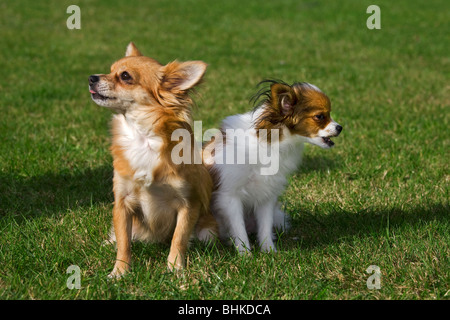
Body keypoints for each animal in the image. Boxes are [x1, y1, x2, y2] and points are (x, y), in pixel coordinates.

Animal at [88, 42, 218, 278]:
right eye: (110, 70)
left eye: (125, 76)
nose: (91, 77)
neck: (143, 138)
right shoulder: (122, 203)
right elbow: (124, 241)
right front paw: (120, 271)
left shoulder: (189, 203)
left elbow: (179, 238)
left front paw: (175, 269)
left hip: (207, 231)